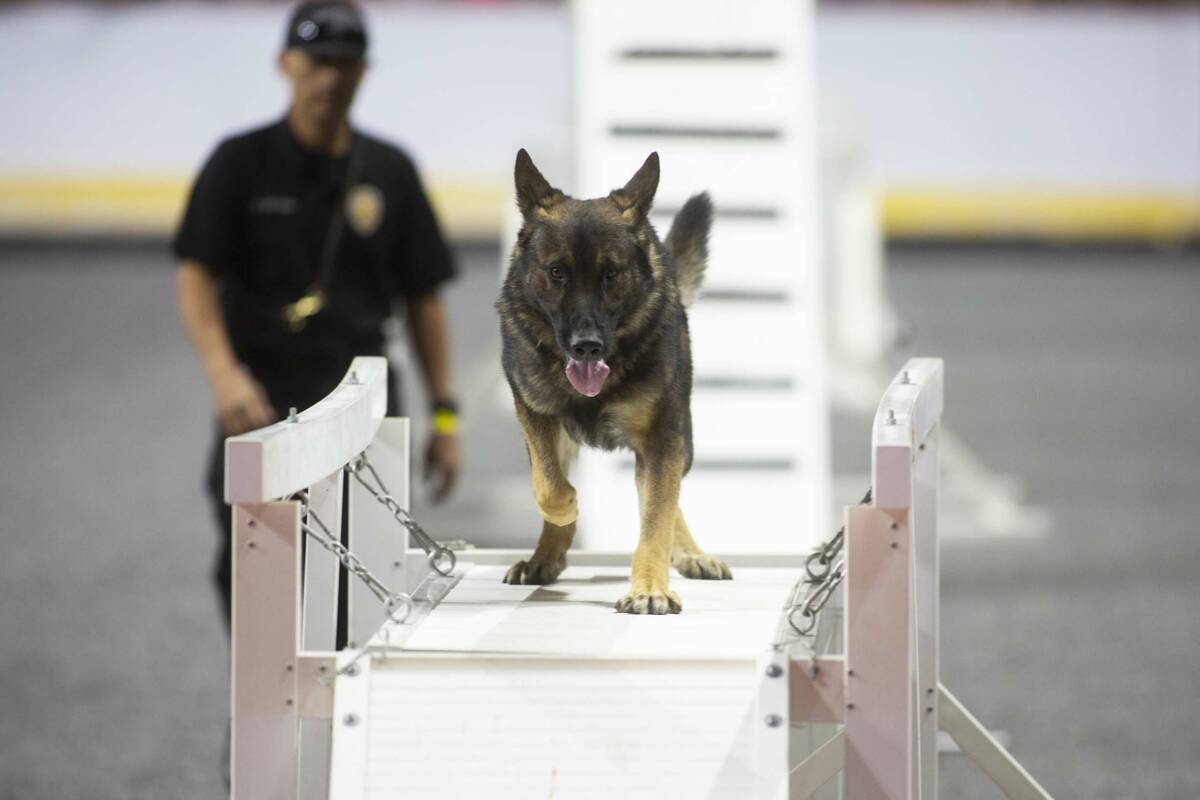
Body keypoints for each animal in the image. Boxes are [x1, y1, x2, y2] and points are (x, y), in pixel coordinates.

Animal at [494, 148, 729, 614]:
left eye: (611, 274)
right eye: (557, 272)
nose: (587, 347)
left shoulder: (662, 440)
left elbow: (656, 519)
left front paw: (649, 589)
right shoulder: (533, 413)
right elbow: (549, 486)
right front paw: (566, 513)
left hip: (680, 443)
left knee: (666, 501)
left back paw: (690, 555)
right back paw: (544, 556)